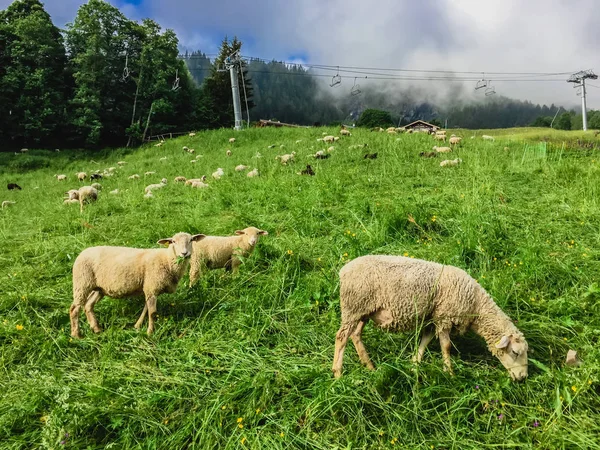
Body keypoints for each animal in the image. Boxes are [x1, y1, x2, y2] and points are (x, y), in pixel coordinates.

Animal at [69, 230, 206, 336]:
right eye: (173, 241)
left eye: (191, 240)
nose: (184, 253)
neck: (167, 260)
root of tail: (82, 253)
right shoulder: (152, 287)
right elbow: (152, 313)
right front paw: (150, 332)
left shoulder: (149, 288)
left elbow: (146, 309)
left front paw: (138, 325)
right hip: (82, 283)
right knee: (74, 309)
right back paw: (77, 335)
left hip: (98, 287)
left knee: (88, 305)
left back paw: (96, 329)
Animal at [332, 255, 528, 382]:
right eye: (515, 352)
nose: (523, 377)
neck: (475, 304)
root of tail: (343, 271)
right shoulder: (444, 317)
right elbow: (446, 346)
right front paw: (450, 373)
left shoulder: (432, 319)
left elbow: (425, 340)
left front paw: (414, 364)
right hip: (353, 306)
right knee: (341, 337)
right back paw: (338, 374)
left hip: (363, 311)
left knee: (355, 335)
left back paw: (370, 367)